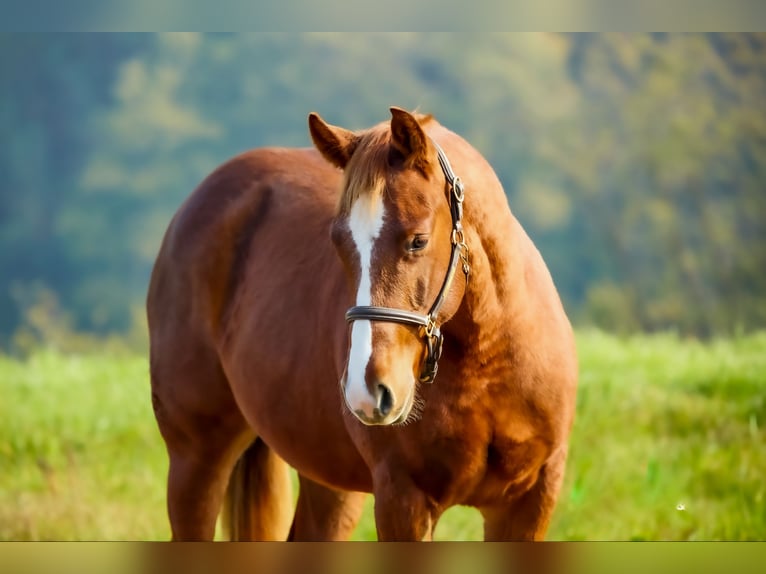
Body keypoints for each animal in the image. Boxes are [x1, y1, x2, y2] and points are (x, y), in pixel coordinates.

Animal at [147, 108, 580, 544]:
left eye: (418, 241)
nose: (368, 391)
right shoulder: (403, 499)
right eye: (339, 242)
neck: (487, 361)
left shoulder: (529, 501)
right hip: (196, 457)